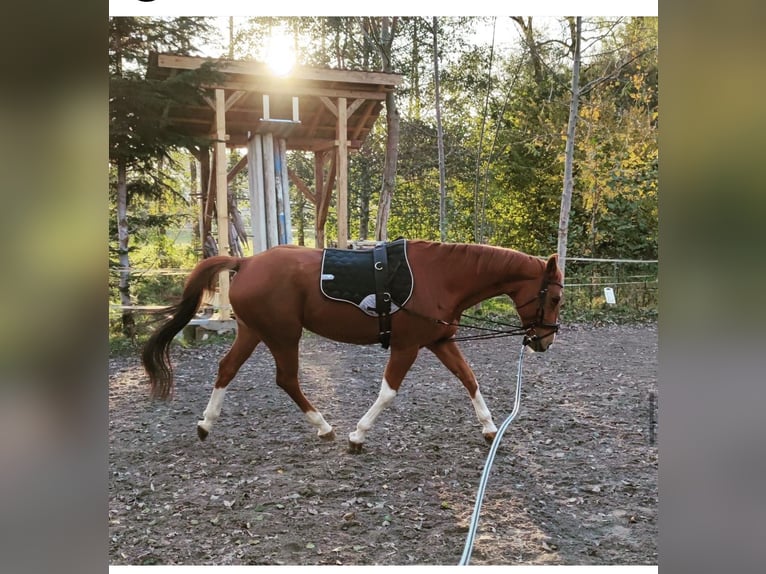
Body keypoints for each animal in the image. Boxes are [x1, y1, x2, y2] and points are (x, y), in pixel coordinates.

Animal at [142, 240, 564, 454]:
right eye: (556, 297)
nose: (544, 341)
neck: (440, 277)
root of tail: (246, 263)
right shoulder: (407, 346)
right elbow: (389, 392)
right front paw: (357, 436)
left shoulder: (439, 341)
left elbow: (469, 378)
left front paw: (491, 429)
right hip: (282, 335)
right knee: (286, 379)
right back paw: (325, 427)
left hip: (254, 331)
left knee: (227, 369)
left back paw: (206, 424)